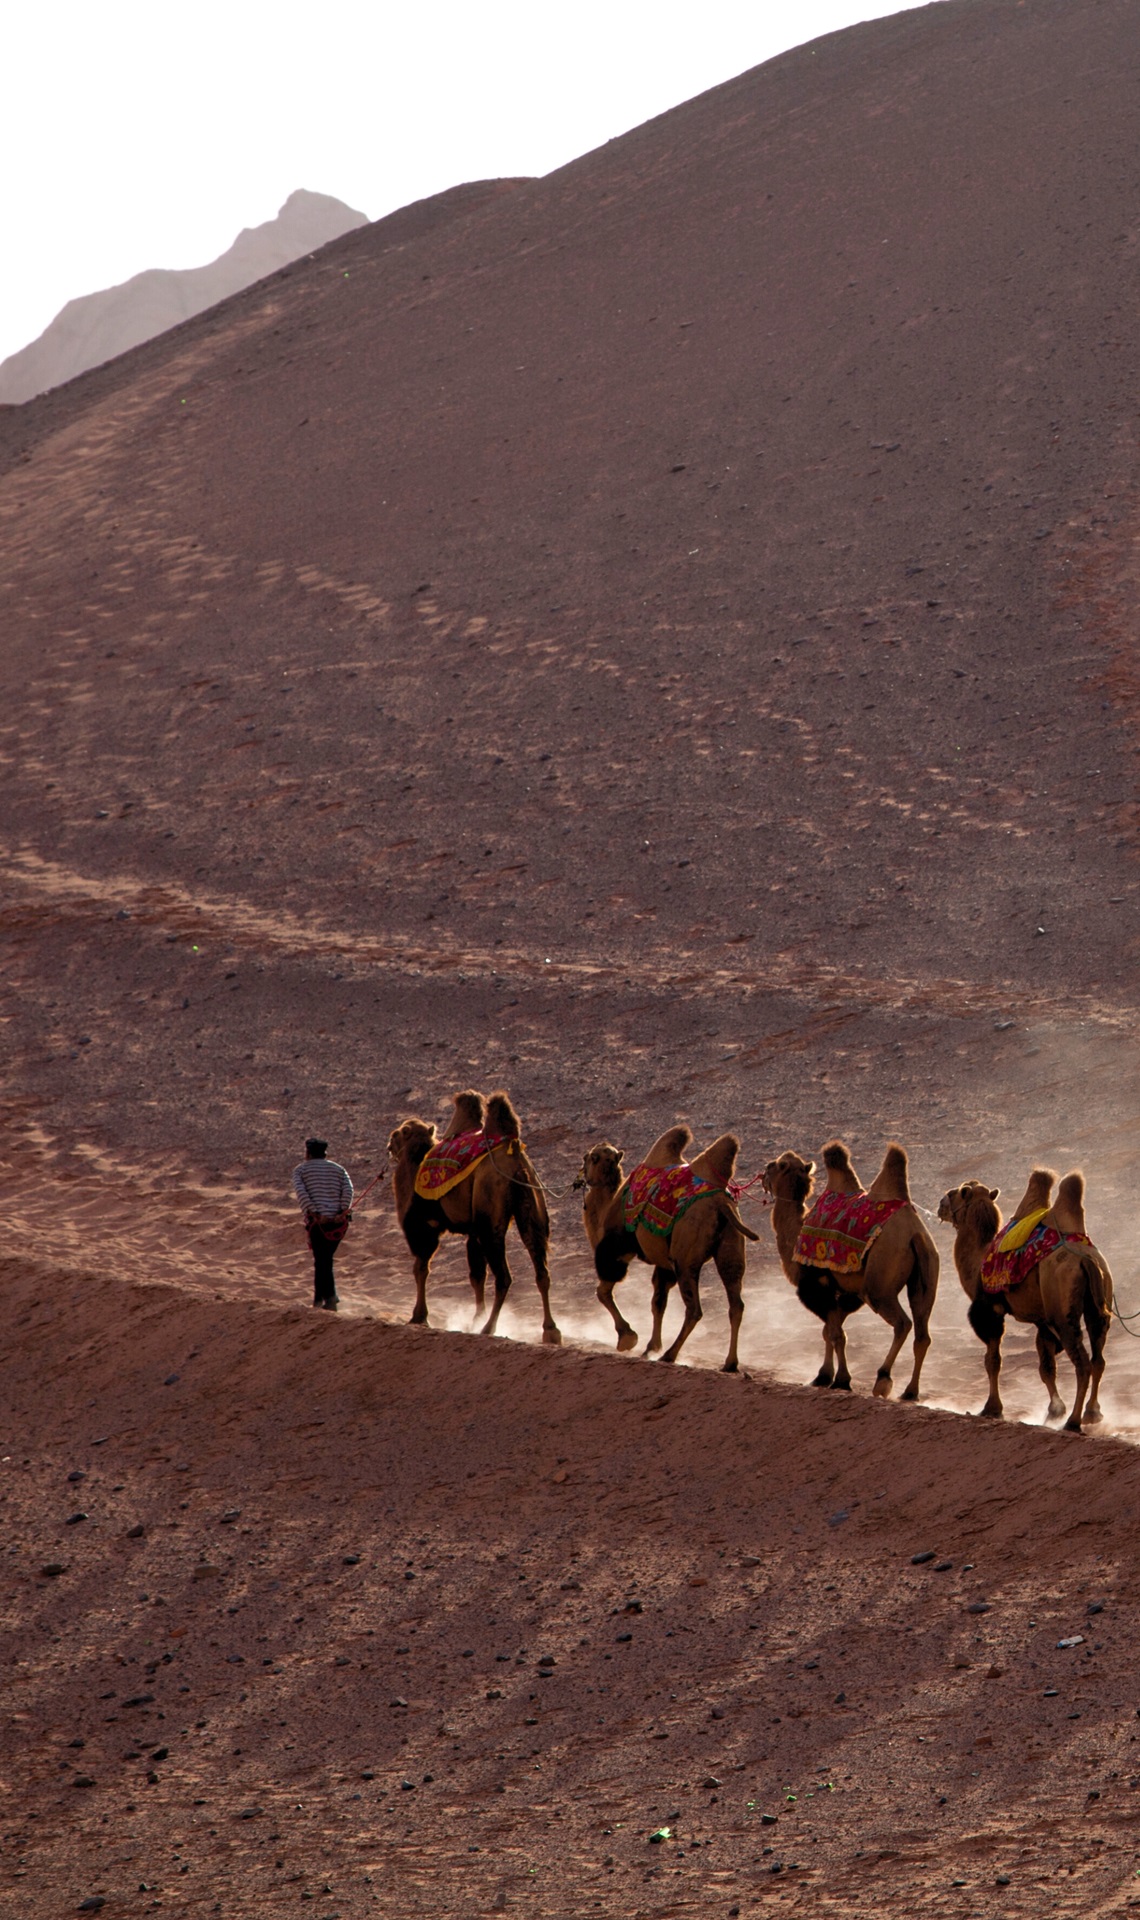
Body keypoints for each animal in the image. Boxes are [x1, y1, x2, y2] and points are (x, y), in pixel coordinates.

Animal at [385, 1090, 560, 1344]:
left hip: (491, 1215)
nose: (388, 1144)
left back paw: (489, 1328)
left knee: (504, 1277)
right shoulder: (473, 1232)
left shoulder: (423, 1226)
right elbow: (477, 1275)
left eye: (397, 1134)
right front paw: (474, 1318)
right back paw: (551, 1330)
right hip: (531, 1206)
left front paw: (419, 1316)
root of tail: (514, 1157)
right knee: (541, 1269)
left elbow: (421, 1268)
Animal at [575, 1121, 756, 1374]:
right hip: (730, 1248)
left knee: (694, 1309)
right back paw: (730, 1363)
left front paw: (627, 1337)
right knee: (736, 1303)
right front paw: (650, 1347)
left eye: (590, 1158)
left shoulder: (617, 1247)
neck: (608, 1206)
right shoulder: (663, 1263)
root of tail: (722, 1204)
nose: (581, 1173)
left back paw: (670, 1355)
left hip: (686, 1258)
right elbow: (658, 1301)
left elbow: (603, 1291)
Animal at [760, 1136, 936, 1397]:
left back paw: (883, 1379)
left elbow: (835, 1334)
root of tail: (914, 1234)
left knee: (902, 1323)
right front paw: (823, 1376)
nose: (763, 1174)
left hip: (879, 1283)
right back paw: (910, 1391)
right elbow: (830, 1332)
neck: (796, 1231)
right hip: (926, 1275)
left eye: (776, 1165)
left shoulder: (816, 1286)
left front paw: (841, 1379)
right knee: (922, 1332)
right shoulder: (846, 1292)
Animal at [932, 1159, 1113, 1436]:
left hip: (1064, 1313)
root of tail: (1088, 1261)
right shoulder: (1042, 1320)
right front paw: (1053, 1410)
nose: (940, 1204)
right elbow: (1046, 1366)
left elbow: (993, 1359)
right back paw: (1092, 1413)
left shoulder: (989, 1309)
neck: (978, 1257)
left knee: (1082, 1362)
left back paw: (1073, 1422)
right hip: (1099, 1304)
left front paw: (992, 1408)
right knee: (1098, 1358)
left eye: (955, 1193)